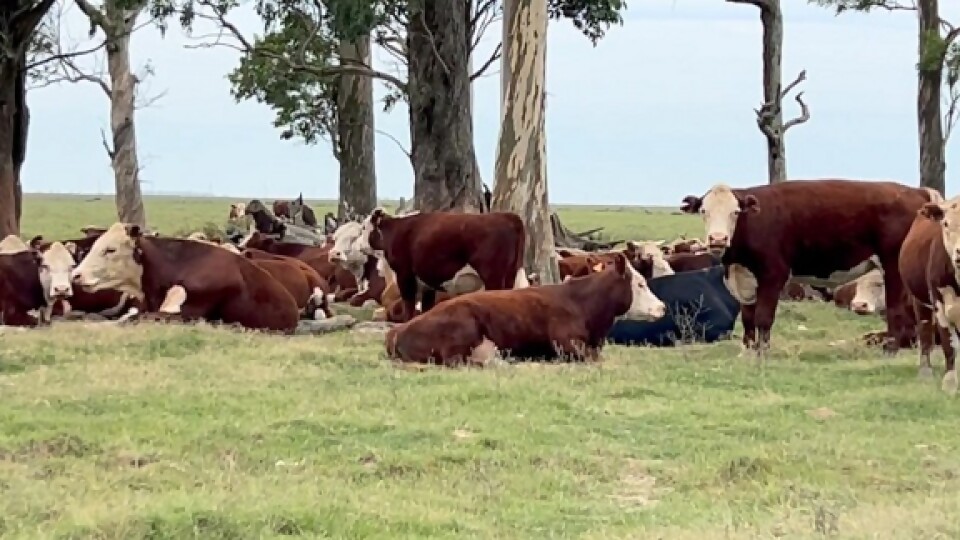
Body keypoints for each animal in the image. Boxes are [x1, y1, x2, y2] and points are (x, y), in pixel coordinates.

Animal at [354, 209, 528, 322]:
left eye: (363, 227)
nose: (358, 246)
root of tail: (507, 216)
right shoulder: (427, 283)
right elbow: (426, 307)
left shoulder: (405, 275)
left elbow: (408, 306)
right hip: (510, 275)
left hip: (493, 277)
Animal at [680, 180, 940, 358]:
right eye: (704, 211)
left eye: (735, 212)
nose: (718, 239)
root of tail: (917, 191)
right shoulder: (745, 280)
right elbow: (748, 319)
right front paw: (747, 353)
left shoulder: (773, 276)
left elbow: (763, 318)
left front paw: (762, 355)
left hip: (893, 267)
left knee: (895, 310)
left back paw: (890, 350)